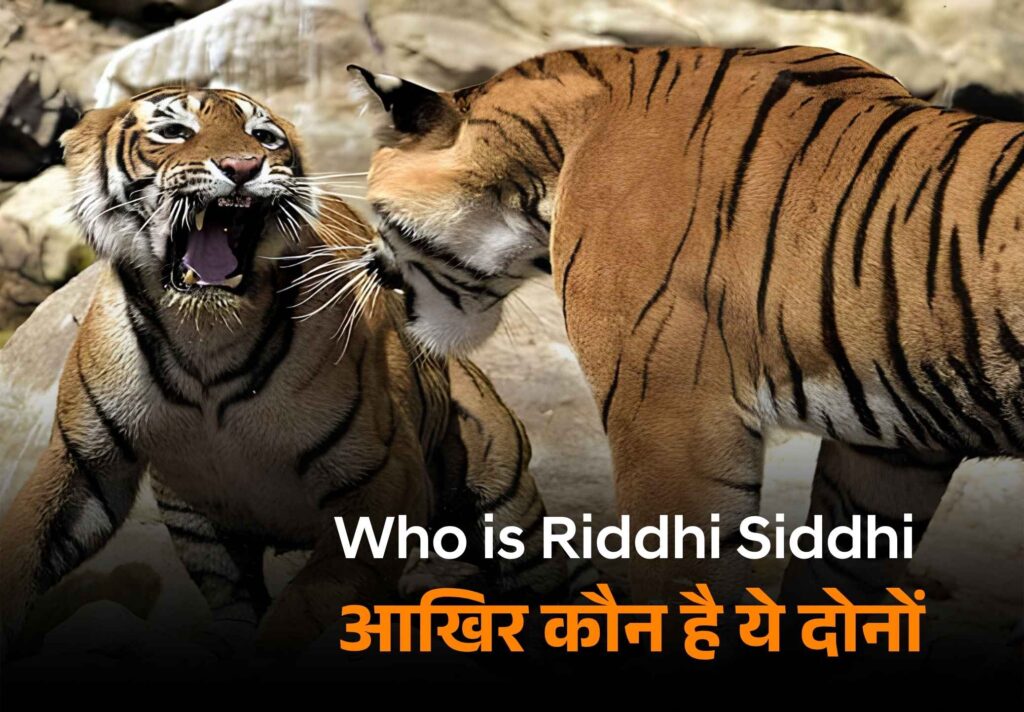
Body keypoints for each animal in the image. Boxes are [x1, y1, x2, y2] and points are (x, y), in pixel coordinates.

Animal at [0, 86, 567, 660]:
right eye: (173, 132)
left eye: (264, 138)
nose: (243, 167)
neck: (205, 335)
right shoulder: (83, 462)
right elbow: (24, 548)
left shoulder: (385, 482)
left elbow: (309, 604)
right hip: (198, 522)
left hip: (505, 502)